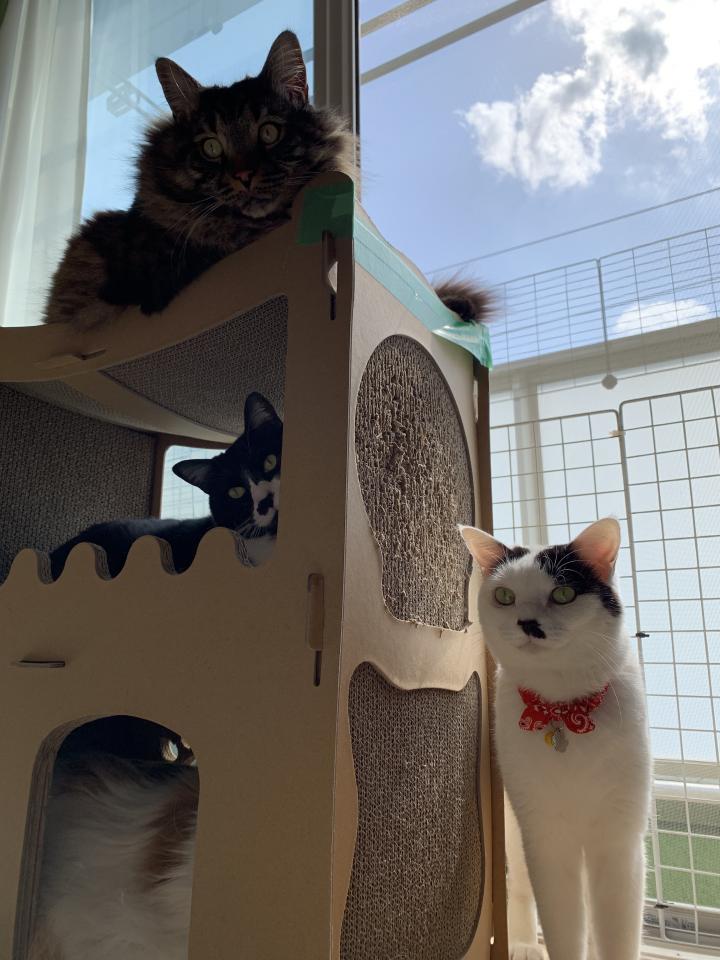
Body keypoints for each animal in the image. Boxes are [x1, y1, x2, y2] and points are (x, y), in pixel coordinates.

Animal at [460, 518, 651, 960]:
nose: (527, 623)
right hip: (515, 829)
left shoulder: (619, 840)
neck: (564, 710)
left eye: (563, 593)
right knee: (519, 885)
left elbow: (617, 934)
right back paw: (524, 944)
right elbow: (563, 925)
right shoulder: (545, 836)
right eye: (505, 596)